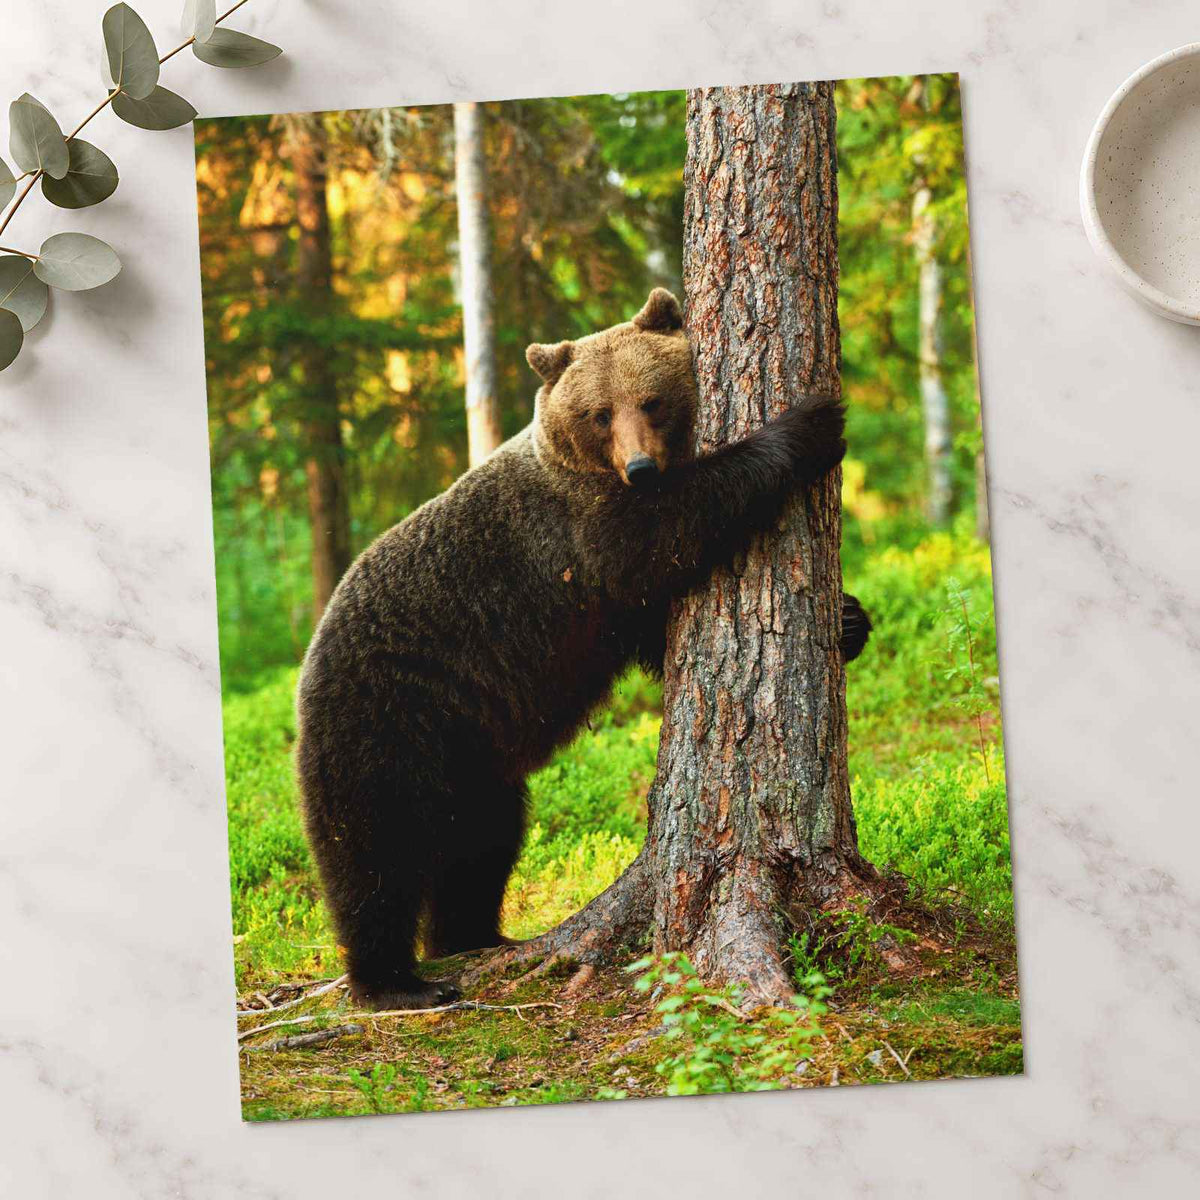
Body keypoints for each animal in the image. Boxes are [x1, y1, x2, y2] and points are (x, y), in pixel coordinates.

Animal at [295, 287, 870, 1010]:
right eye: (599, 413)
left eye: (652, 400)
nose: (641, 467)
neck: (592, 470)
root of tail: (309, 663)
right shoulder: (579, 539)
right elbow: (668, 535)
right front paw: (809, 425)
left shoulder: (609, 600)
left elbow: (661, 630)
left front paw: (849, 620)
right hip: (384, 719)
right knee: (375, 851)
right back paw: (397, 982)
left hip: (471, 754)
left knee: (482, 841)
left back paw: (476, 937)